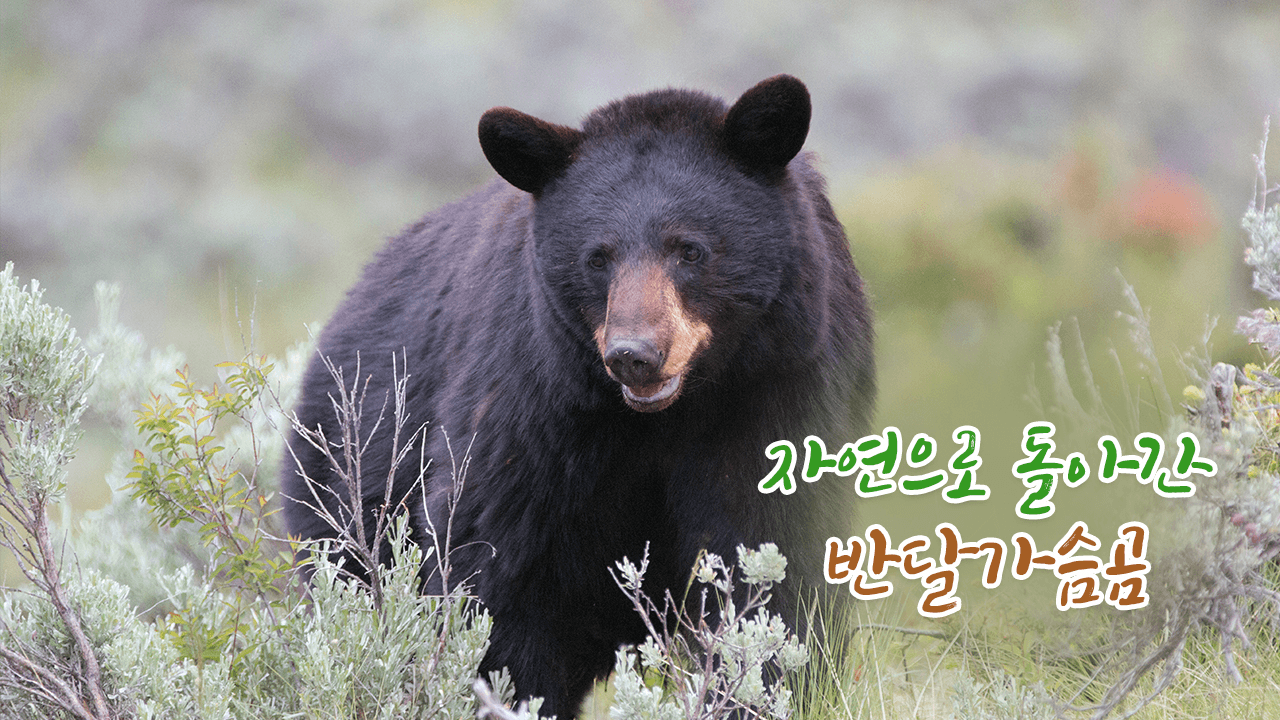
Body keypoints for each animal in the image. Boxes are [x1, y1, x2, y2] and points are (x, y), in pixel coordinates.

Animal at [283, 74, 874, 718]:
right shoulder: (535, 405)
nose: (634, 353)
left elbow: (770, 567)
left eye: (689, 250)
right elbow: (498, 575)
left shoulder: (780, 384)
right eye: (598, 256)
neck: (667, 417)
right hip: (347, 476)